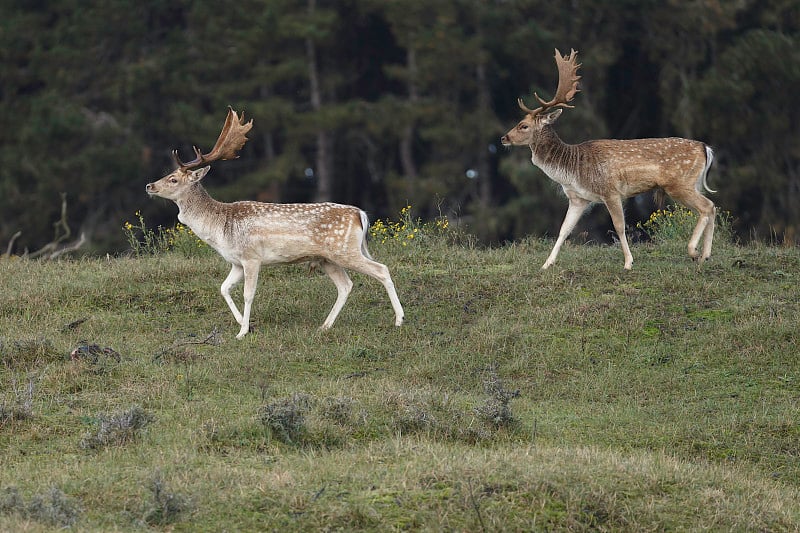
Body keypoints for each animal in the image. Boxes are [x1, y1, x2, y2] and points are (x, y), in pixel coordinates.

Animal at [145, 108, 404, 338]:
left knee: (381, 269)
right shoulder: (236, 262)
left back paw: (400, 319)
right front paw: (245, 324)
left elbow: (248, 294)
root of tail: (360, 214)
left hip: (344, 249)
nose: (149, 185)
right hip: (327, 258)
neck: (221, 229)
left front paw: (242, 332)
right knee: (346, 285)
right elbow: (223, 288)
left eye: (173, 179)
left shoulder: (251, 257)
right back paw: (325, 326)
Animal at [500, 48, 720, 270]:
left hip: (679, 183)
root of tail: (705, 148)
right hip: (689, 184)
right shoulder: (578, 199)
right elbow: (564, 230)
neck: (572, 169)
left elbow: (619, 226)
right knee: (710, 207)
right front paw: (546, 264)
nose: (504, 138)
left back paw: (694, 251)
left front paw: (628, 262)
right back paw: (705, 255)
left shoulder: (610, 191)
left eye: (523, 126)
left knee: (707, 206)